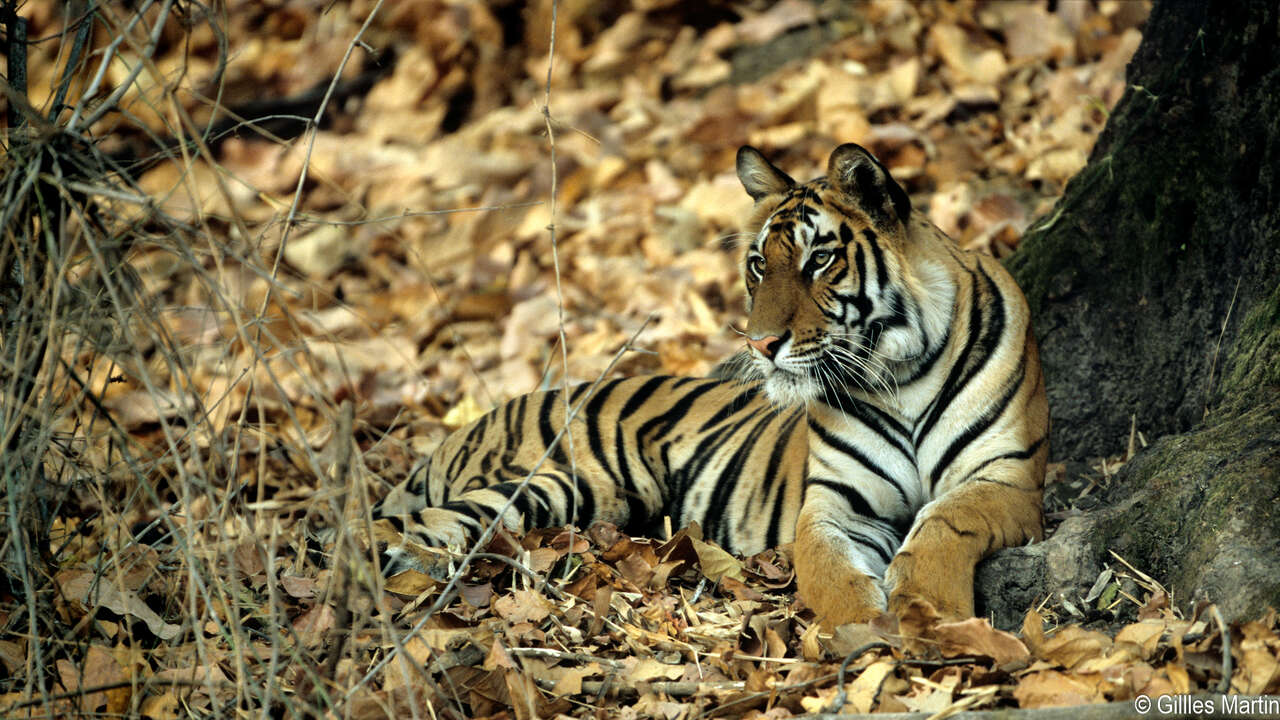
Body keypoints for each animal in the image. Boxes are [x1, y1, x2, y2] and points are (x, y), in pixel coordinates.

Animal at [376, 143, 1049, 628]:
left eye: (819, 260)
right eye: (759, 264)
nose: (760, 344)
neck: (900, 373)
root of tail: (474, 423)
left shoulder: (1006, 478)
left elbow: (944, 521)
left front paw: (929, 610)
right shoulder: (835, 499)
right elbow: (824, 563)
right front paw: (862, 626)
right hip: (558, 484)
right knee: (429, 521)